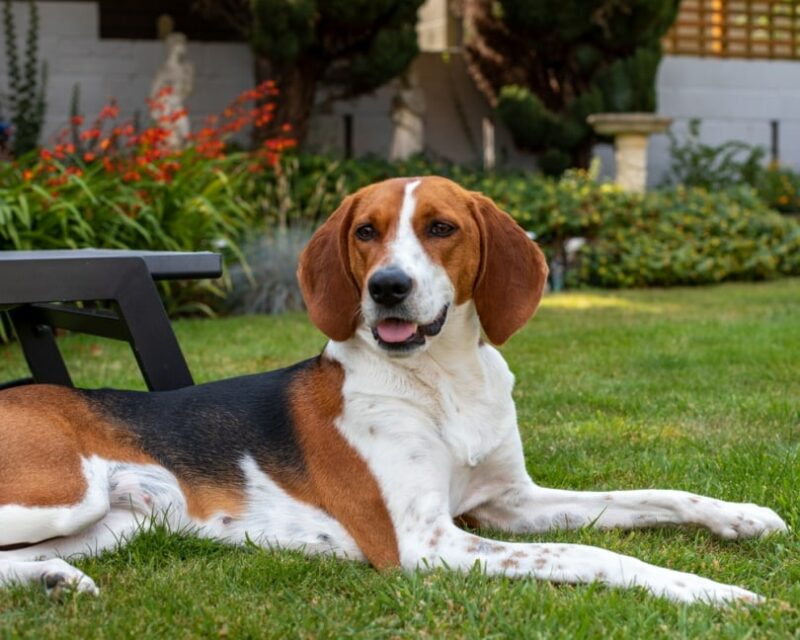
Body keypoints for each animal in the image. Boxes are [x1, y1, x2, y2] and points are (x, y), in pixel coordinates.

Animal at [0, 178, 788, 604]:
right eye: (366, 232)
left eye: (440, 228)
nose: (387, 287)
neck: (445, 383)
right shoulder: (425, 541)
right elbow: (593, 554)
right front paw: (707, 591)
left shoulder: (511, 501)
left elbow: (652, 496)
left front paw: (742, 518)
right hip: (66, 493)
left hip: (120, 522)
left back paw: (53, 581)